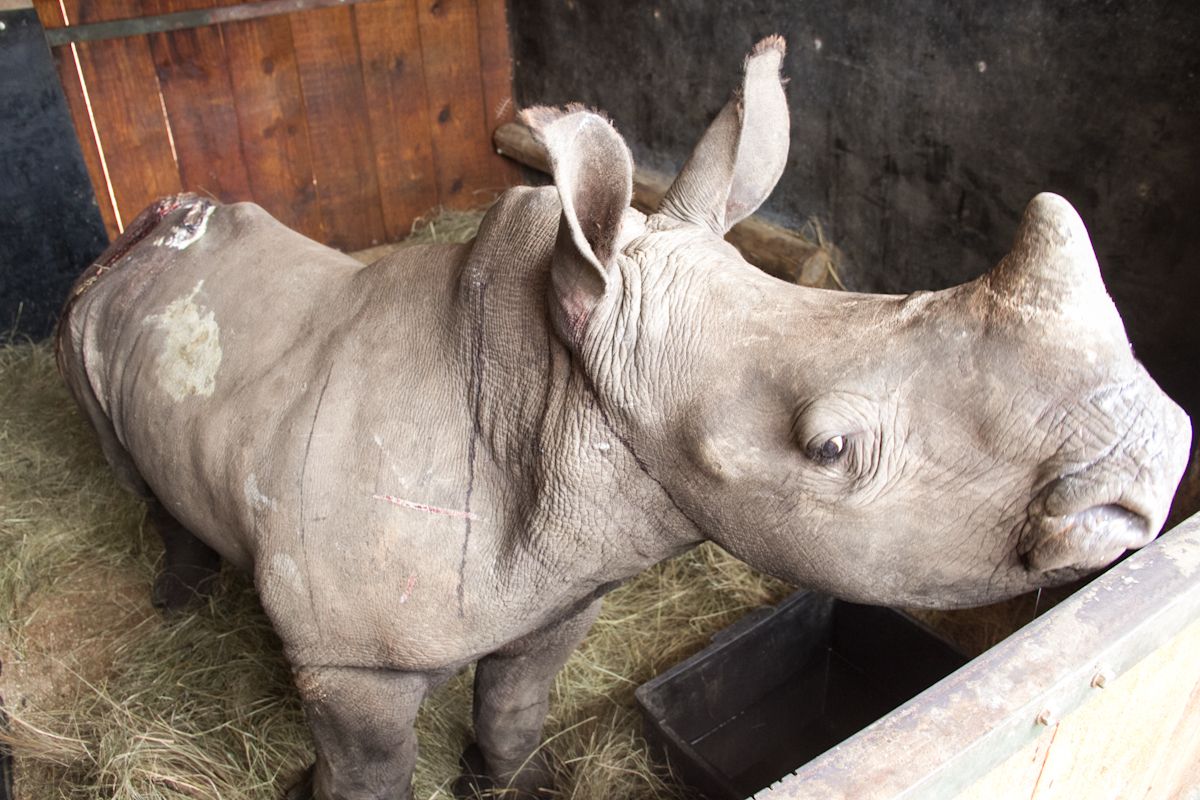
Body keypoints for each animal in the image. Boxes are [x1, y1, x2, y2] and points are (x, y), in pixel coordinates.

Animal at [56, 35, 1189, 800]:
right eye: (829, 448)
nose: (1156, 461)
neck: (543, 388)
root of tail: (143, 229)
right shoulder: (350, 661)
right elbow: (370, 772)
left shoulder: (561, 584)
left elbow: (516, 708)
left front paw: (510, 783)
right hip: (84, 322)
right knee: (120, 462)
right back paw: (178, 595)